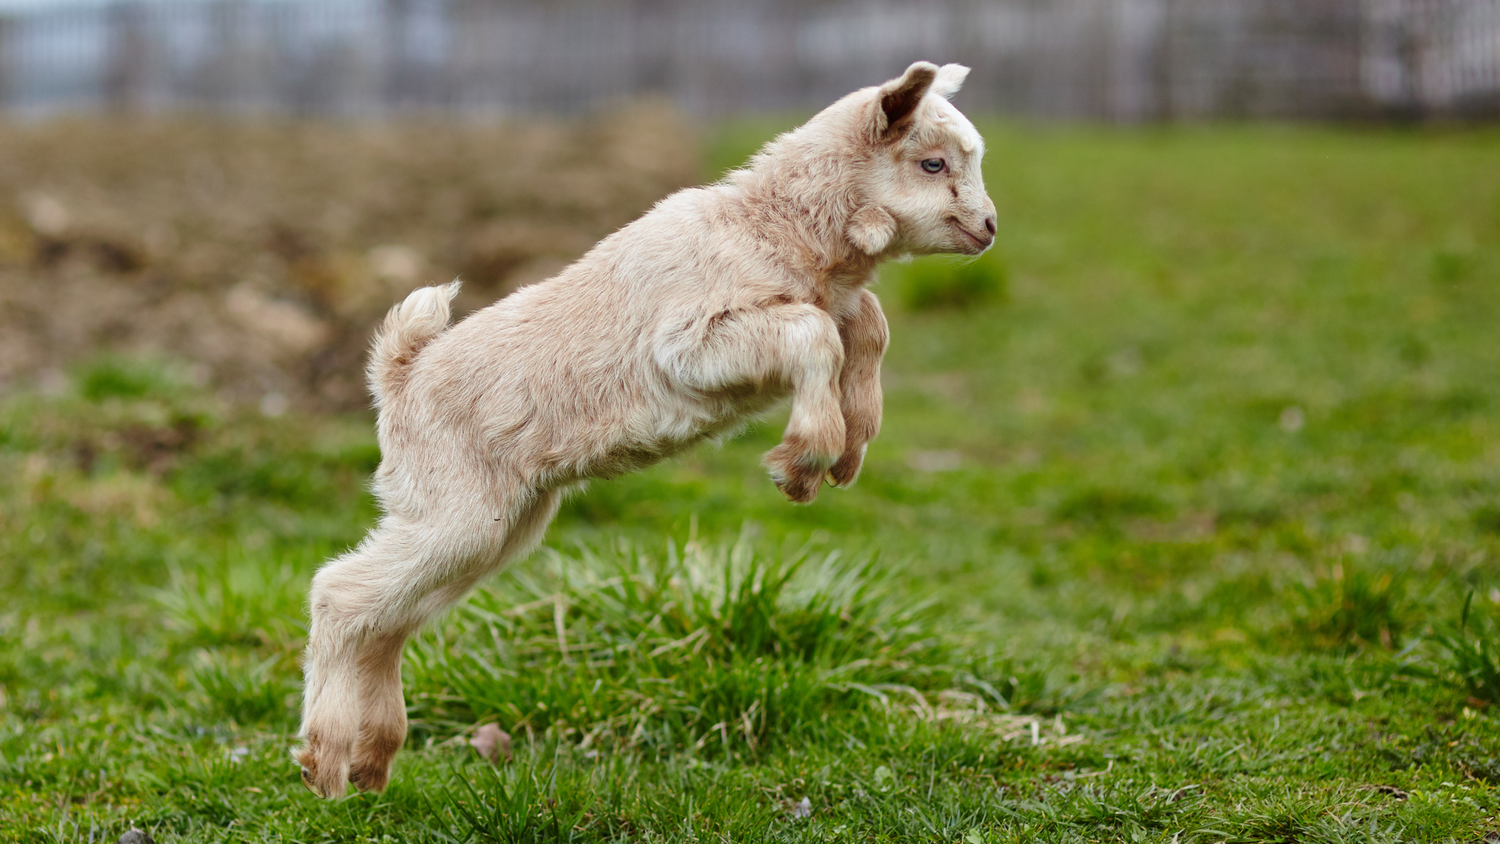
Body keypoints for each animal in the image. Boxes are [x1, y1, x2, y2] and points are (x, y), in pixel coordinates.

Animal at [295, 60, 995, 797]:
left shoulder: (832, 305)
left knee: (387, 619)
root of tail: (399, 376)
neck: (775, 227)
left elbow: (866, 326)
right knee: (340, 594)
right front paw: (802, 462)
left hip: (497, 523)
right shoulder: (688, 344)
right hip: (454, 506)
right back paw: (325, 762)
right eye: (932, 162)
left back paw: (369, 760)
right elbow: (815, 334)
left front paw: (851, 445)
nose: (989, 227)